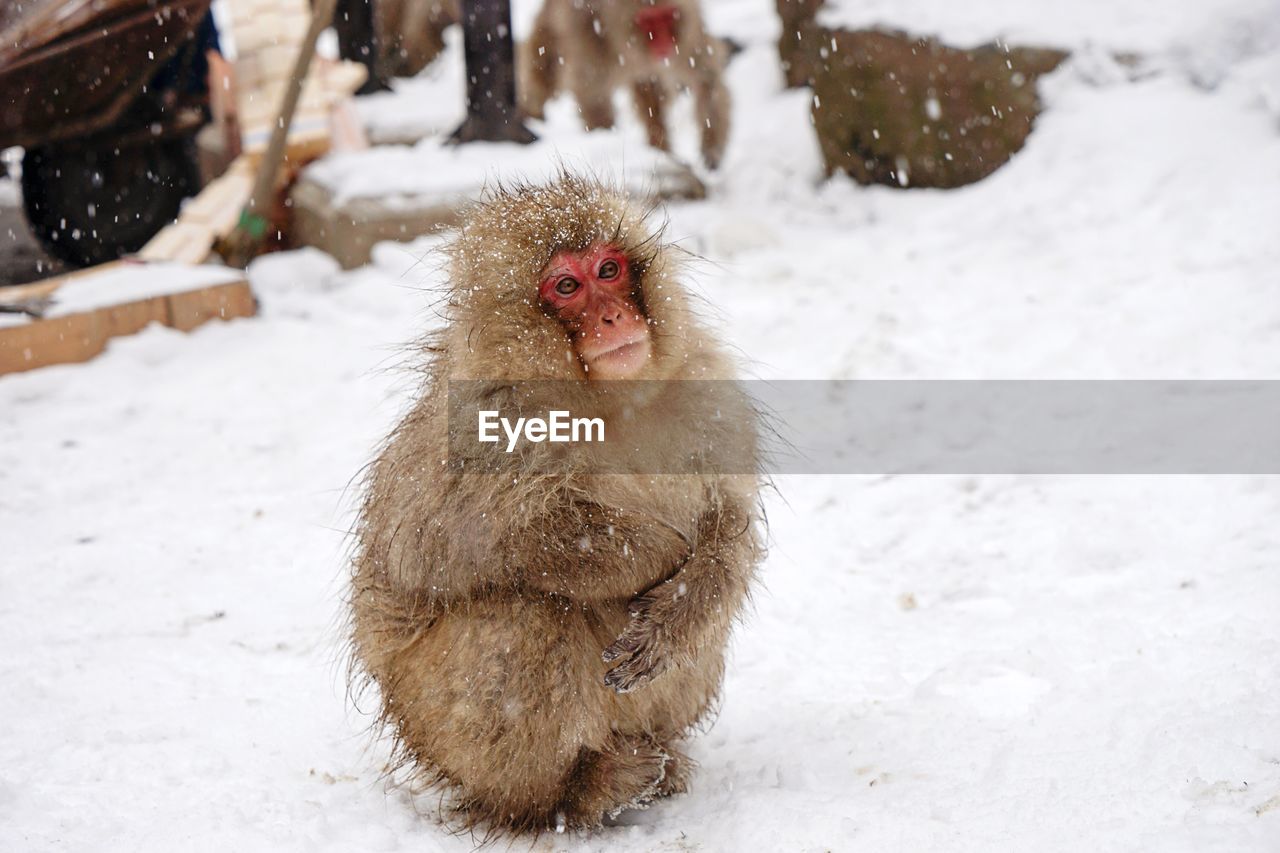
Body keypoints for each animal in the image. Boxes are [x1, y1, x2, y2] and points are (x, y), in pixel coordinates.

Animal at [350, 172, 757, 829]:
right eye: (567, 286)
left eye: (610, 269)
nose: (614, 315)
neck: (609, 404)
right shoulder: (480, 425)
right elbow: (437, 549)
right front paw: (658, 550)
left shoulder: (707, 389)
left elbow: (730, 518)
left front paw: (681, 605)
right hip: (438, 725)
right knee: (522, 612)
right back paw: (576, 791)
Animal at [517, 0, 732, 169]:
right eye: (648, 20)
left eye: (667, 17)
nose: (664, 44)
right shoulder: (590, 34)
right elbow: (592, 93)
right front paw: (604, 140)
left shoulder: (688, 34)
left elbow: (706, 78)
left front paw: (711, 148)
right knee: (544, 69)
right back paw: (531, 114)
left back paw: (660, 149)